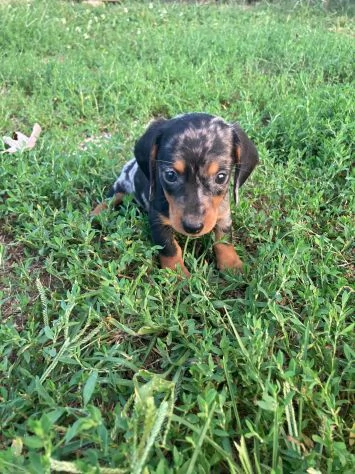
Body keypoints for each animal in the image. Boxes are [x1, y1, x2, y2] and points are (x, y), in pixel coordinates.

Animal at [92, 113, 258, 276]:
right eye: (170, 175)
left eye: (221, 177)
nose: (193, 227)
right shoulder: (157, 220)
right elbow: (170, 249)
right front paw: (177, 276)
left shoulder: (224, 215)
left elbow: (223, 241)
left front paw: (232, 266)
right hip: (120, 187)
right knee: (109, 199)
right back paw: (96, 215)